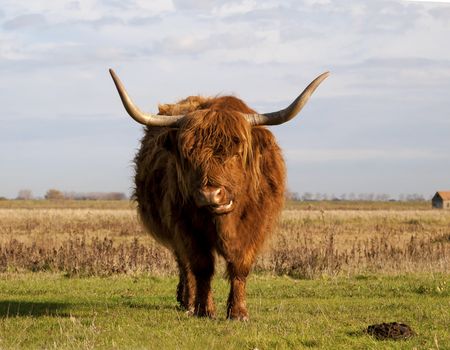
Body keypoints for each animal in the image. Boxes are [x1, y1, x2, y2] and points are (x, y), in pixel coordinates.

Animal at [108, 69, 326, 322]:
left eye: (237, 151)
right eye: (187, 154)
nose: (210, 194)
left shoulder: (255, 227)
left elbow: (240, 266)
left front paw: (239, 312)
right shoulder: (186, 228)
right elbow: (201, 267)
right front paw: (204, 309)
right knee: (185, 265)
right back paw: (187, 302)